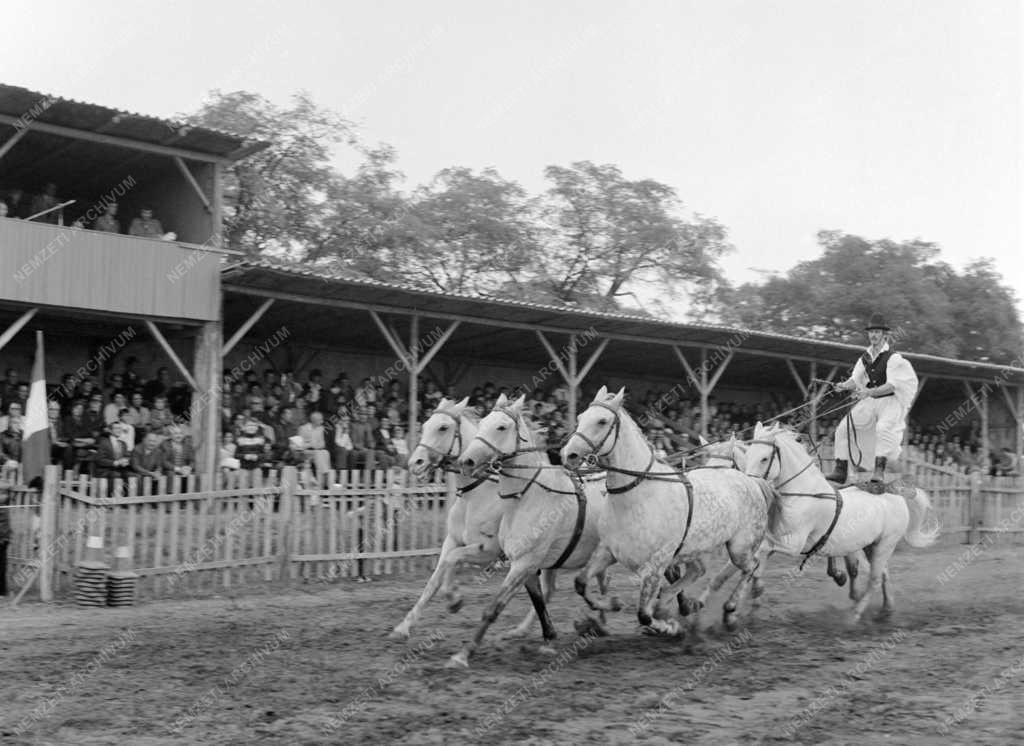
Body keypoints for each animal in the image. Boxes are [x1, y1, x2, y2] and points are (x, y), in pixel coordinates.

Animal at [389, 395, 552, 638]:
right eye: (425, 425)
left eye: (443, 427)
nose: (415, 463)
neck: (475, 495)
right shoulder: (452, 541)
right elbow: (434, 580)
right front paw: (404, 626)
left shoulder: (489, 551)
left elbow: (452, 559)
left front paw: (454, 599)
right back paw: (523, 630)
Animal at [454, 395, 610, 671]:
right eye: (482, 422)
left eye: (502, 427)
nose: (467, 461)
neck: (527, 497)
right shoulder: (525, 563)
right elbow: (538, 600)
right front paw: (548, 639)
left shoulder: (523, 562)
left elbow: (493, 608)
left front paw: (464, 654)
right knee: (600, 581)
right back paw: (599, 622)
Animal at [565, 384, 770, 634]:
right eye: (580, 417)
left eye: (602, 421)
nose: (568, 455)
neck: (636, 497)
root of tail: (752, 481)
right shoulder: (608, 551)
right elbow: (580, 583)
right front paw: (612, 604)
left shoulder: (656, 564)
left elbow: (644, 614)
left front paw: (669, 627)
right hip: (696, 550)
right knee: (698, 571)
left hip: (740, 547)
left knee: (750, 567)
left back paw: (730, 611)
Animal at [745, 421, 937, 618]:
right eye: (748, 453)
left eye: (764, 458)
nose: (749, 485)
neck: (805, 494)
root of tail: (897, 495)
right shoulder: (777, 536)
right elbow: (761, 553)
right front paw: (754, 593)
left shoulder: (794, 544)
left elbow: (762, 550)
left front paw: (754, 591)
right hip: (871, 546)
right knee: (883, 574)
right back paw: (886, 609)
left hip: (886, 544)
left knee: (875, 579)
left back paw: (855, 615)